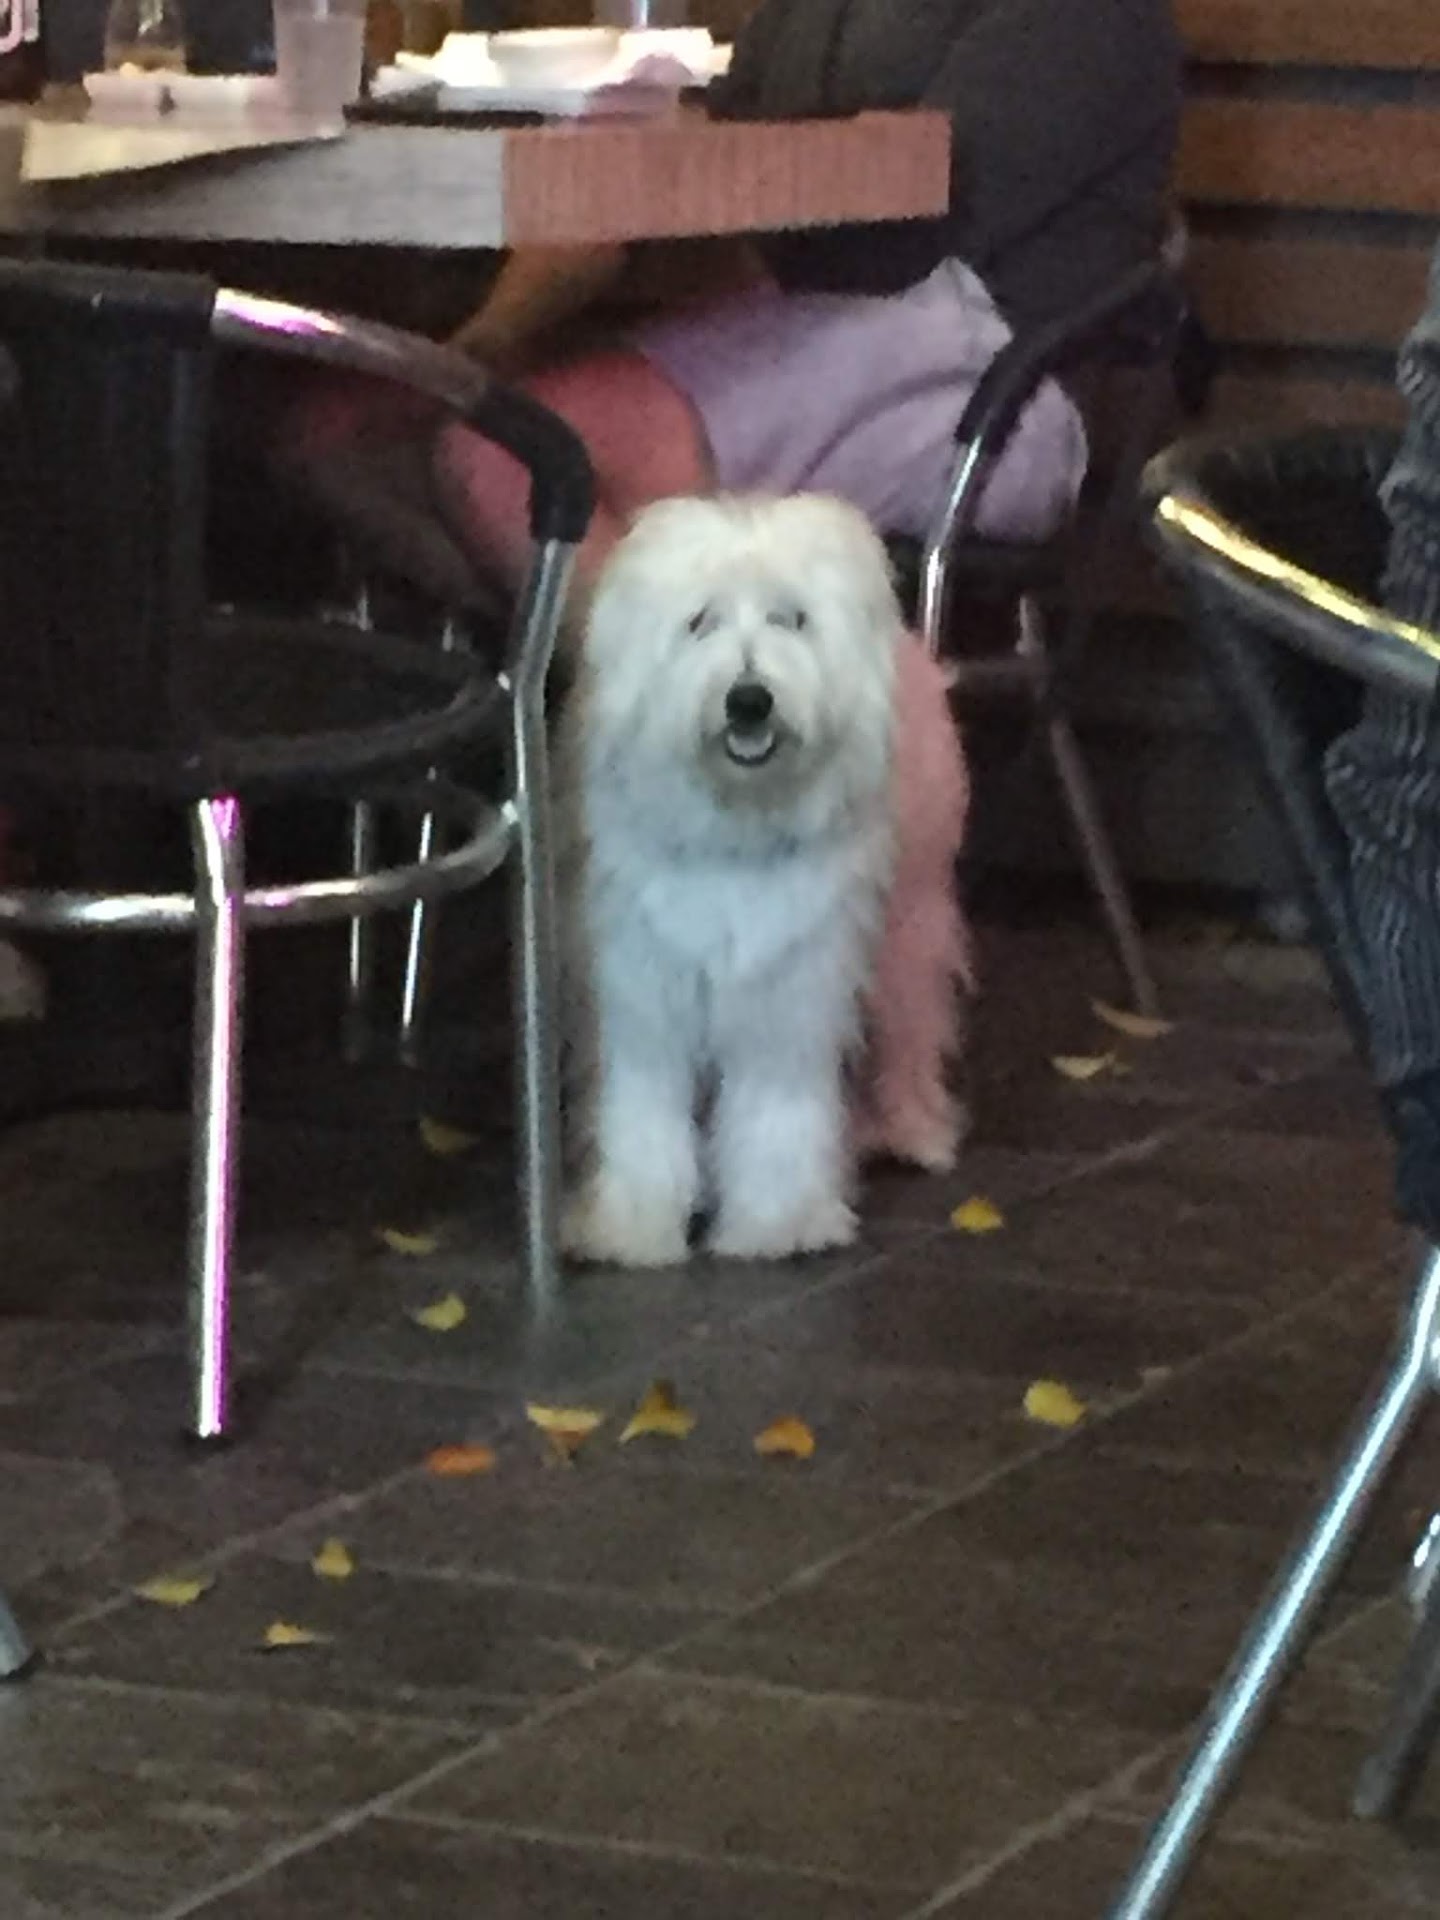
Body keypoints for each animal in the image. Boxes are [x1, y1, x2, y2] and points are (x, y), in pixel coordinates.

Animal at [558, 493, 972, 1269]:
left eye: (792, 619)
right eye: (700, 621)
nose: (748, 700)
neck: (736, 827)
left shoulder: (792, 992)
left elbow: (779, 1110)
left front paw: (780, 1223)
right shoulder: (643, 988)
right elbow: (642, 1110)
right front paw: (634, 1225)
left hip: (908, 925)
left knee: (911, 1026)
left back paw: (910, 1130)